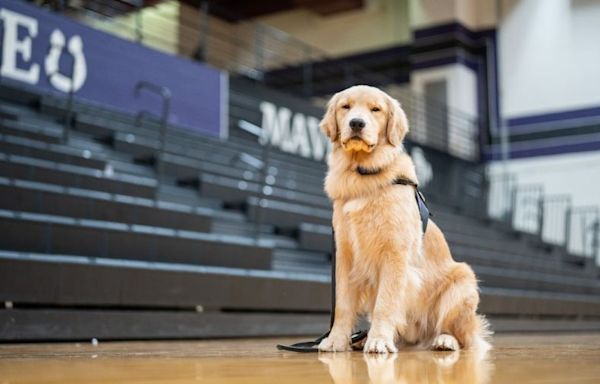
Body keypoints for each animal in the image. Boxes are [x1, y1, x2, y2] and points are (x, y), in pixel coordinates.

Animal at [316, 86, 490, 354]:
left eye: (375, 109)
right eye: (346, 107)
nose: (356, 123)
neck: (364, 174)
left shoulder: (394, 254)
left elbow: (386, 303)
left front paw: (379, 340)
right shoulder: (345, 255)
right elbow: (343, 305)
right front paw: (337, 340)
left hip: (462, 282)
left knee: (464, 336)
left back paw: (444, 340)